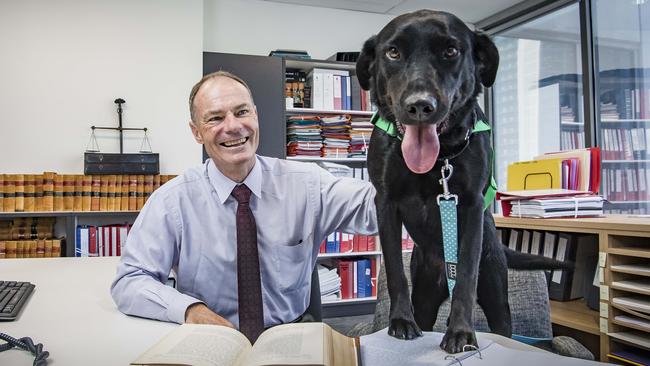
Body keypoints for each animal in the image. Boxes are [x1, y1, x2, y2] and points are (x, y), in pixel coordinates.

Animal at [354, 10, 560, 354]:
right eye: (393, 52)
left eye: (451, 51)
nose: (419, 106)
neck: (440, 159)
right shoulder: (385, 201)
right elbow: (395, 269)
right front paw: (400, 321)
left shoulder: (471, 205)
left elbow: (465, 273)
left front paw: (461, 332)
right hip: (425, 295)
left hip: (495, 288)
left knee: (499, 319)